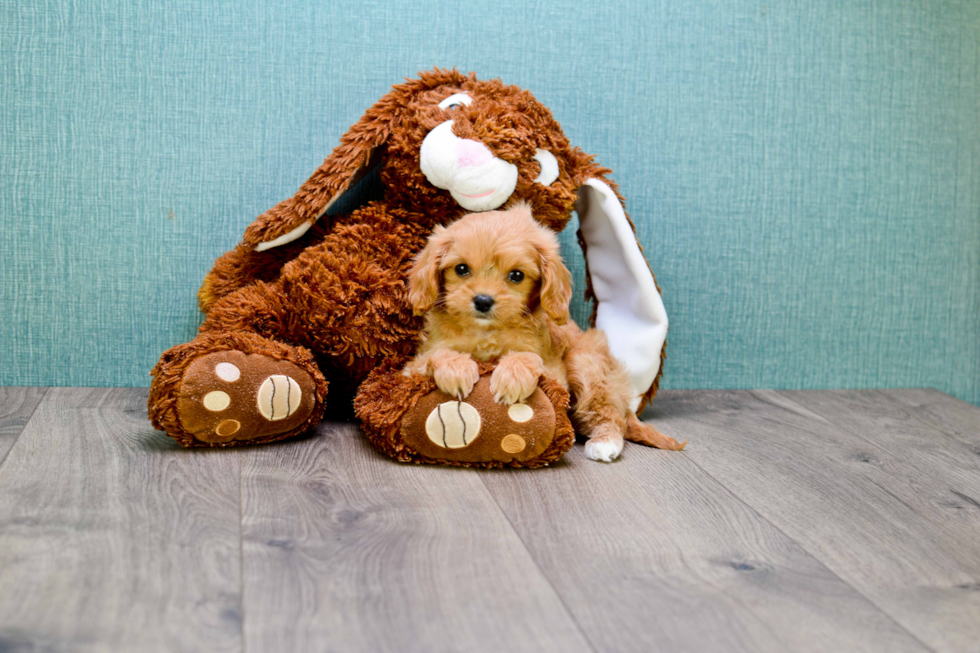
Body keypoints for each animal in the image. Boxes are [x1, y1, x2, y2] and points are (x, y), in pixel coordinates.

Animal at [402, 201, 684, 460]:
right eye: (461, 269)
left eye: (516, 275)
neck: (487, 333)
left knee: (611, 416)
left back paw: (605, 443)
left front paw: (512, 377)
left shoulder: (554, 374)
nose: (483, 301)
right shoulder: (412, 367)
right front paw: (457, 369)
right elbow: (438, 355)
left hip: (586, 364)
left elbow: (527, 357)